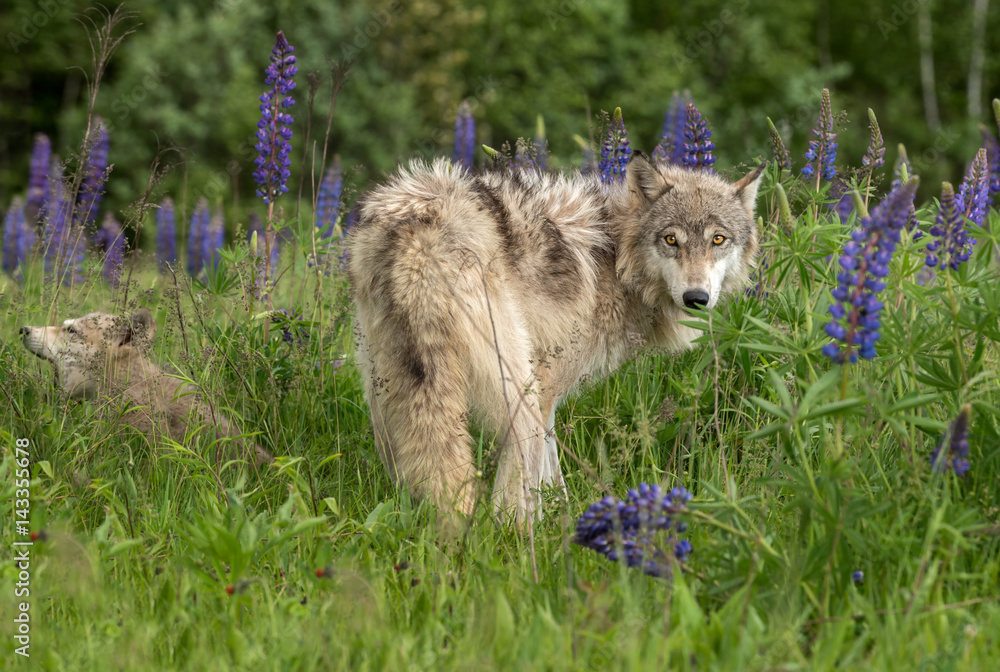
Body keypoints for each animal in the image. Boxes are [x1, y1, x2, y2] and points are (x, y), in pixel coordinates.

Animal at [348, 151, 765, 526]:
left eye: (718, 240)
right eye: (671, 239)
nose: (696, 298)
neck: (616, 259)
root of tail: (418, 231)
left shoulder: (548, 393)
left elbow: (552, 476)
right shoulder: (547, 385)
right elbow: (543, 476)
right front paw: (545, 526)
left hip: (388, 390)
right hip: (515, 388)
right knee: (504, 484)